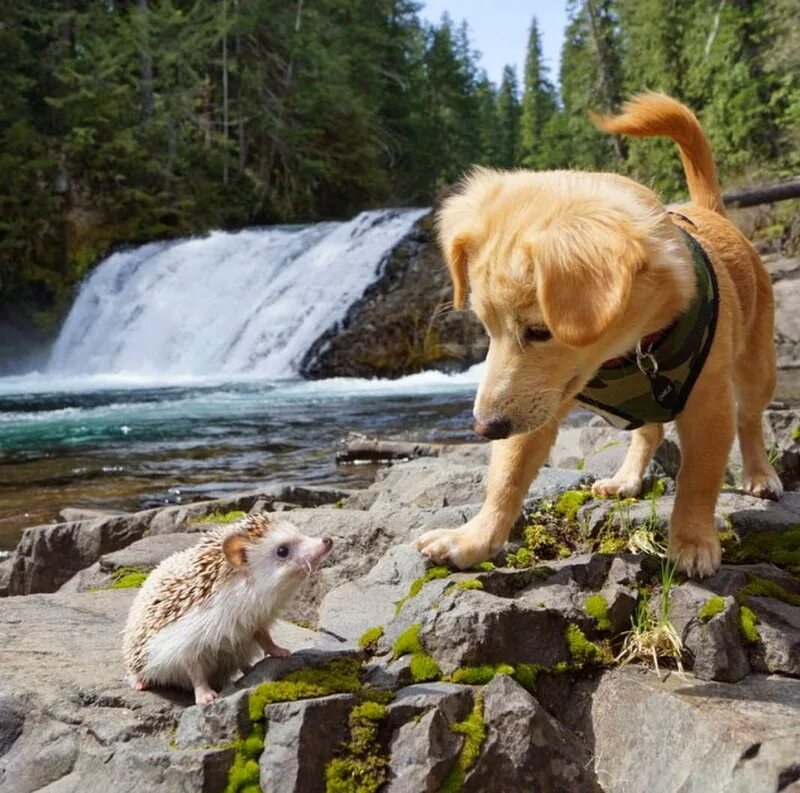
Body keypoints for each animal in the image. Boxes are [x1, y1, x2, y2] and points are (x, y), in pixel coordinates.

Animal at [416, 93, 780, 580]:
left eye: (539, 331)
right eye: (487, 328)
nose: (483, 427)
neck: (628, 350)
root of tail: (711, 211)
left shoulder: (709, 407)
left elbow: (698, 479)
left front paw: (692, 541)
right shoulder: (535, 406)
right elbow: (506, 477)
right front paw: (472, 540)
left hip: (757, 364)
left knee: (751, 419)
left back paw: (760, 474)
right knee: (648, 431)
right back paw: (627, 478)